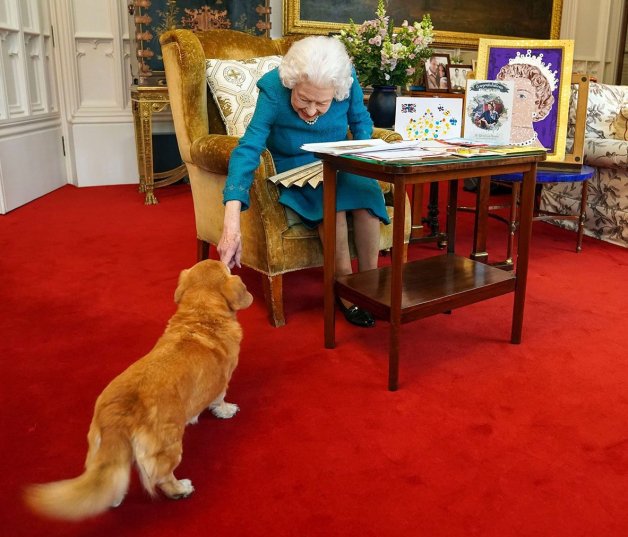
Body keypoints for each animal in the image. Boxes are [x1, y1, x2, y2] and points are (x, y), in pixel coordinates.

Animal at [25, 260, 253, 520]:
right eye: (225, 268)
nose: (228, 259)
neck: (200, 316)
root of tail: (118, 414)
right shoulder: (222, 382)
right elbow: (219, 399)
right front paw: (226, 410)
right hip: (169, 447)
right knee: (163, 478)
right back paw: (181, 489)